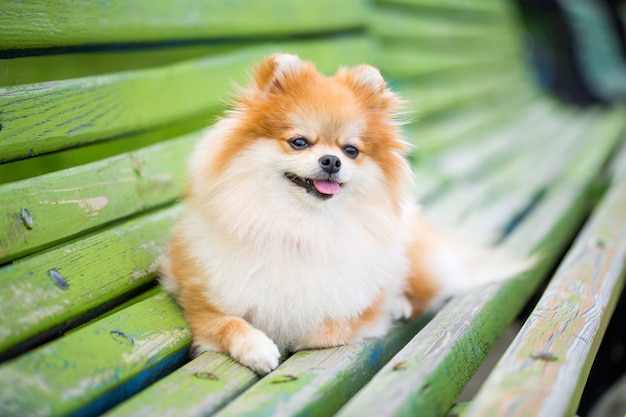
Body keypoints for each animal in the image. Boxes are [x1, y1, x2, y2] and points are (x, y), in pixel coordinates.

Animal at [160, 52, 528, 374]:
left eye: (350, 150)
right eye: (299, 142)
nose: (331, 160)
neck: (299, 226)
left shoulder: (354, 310)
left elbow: (327, 328)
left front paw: (294, 336)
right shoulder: (202, 307)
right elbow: (229, 324)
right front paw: (260, 348)